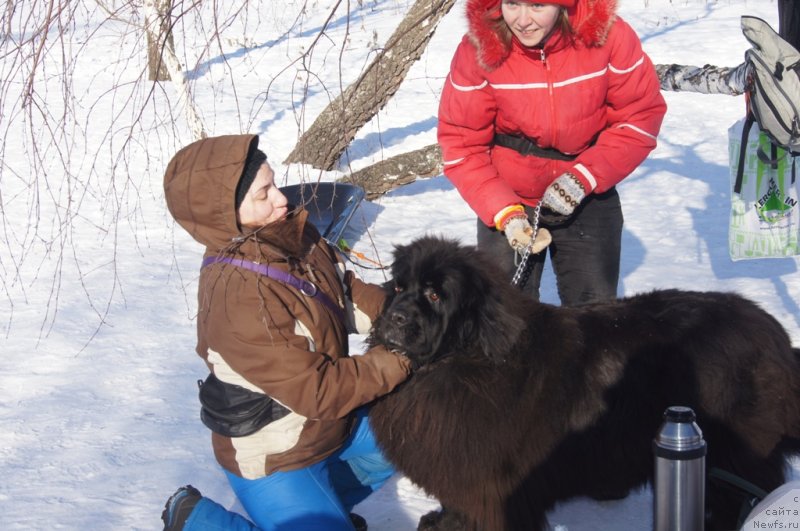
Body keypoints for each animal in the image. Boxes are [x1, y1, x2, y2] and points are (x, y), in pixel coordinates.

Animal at [368, 237, 800, 531]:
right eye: (398, 288)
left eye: (435, 295)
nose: (395, 318)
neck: (467, 358)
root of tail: (774, 333)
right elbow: (456, 502)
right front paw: (441, 522)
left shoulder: (492, 483)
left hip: (738, 451)